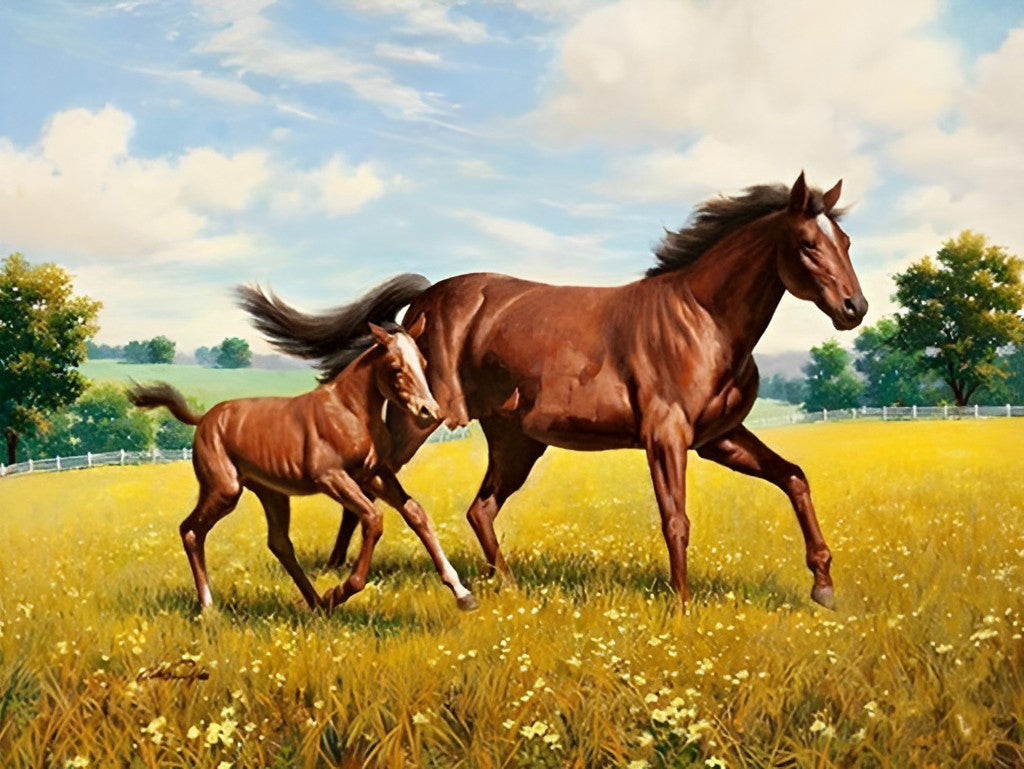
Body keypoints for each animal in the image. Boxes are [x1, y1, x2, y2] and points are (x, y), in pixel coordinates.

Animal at [127, 317, 478, 613]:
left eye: (423, 363)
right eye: (394, 367)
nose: (429, 412)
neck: (350, 411)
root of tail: (204, 419)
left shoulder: (373, 474)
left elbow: (415, 513)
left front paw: (463, 593)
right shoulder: (331, 477)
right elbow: (373, 519)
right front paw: (342, 590)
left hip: (272, 493)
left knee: (279, 543)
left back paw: (316, 604)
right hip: (224, 490)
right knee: (190, 531)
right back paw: (209, 606)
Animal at [237, 173, 867, 610]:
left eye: (846, 240)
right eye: (808, 243)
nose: (854, 309)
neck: (702, 320)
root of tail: (426, 298)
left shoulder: (720, 437)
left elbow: (794, 478)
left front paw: (823, 585)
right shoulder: (666, 437)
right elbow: (676, 519)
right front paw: (683, 605)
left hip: (516, 442)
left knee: (478, 508)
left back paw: (501, 585)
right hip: (423, 416)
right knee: (382, 475)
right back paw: (342, 577)